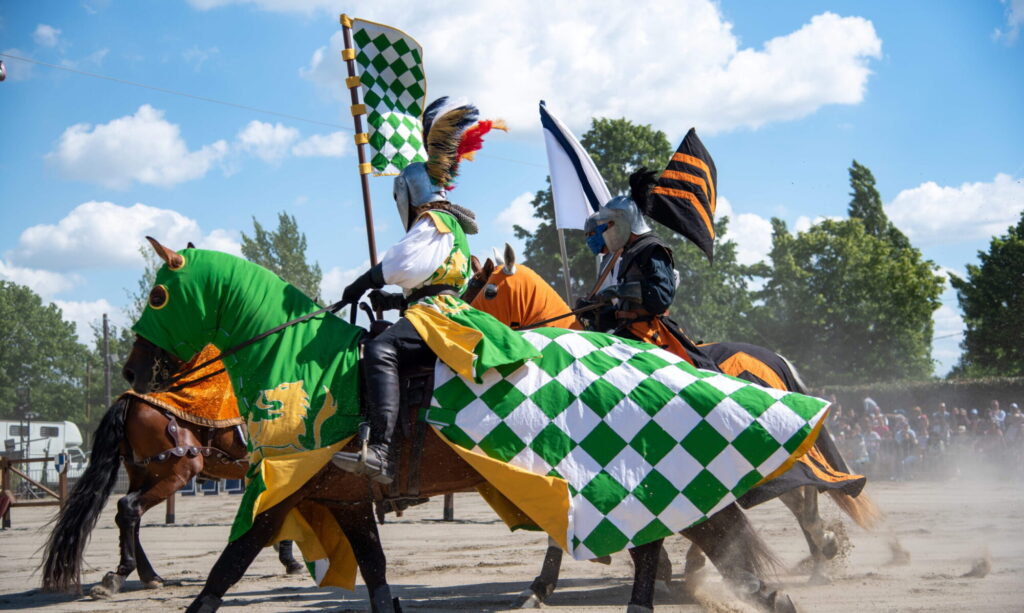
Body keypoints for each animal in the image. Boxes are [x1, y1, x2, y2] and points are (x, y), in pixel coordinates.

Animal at [41, 345, 303, 597]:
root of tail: (129, 400)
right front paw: (290, 560)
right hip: (177, 473)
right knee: (129, 508)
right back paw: (122, 574)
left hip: (144, 473)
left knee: (129, 515)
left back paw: (149, 576)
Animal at [120, 238, 825, 612]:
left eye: (157, 295)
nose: (133, 370)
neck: (299, 366)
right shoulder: (342, 499)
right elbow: (375, 574)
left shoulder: (283, 492)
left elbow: (226, 568)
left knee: (673, 535)